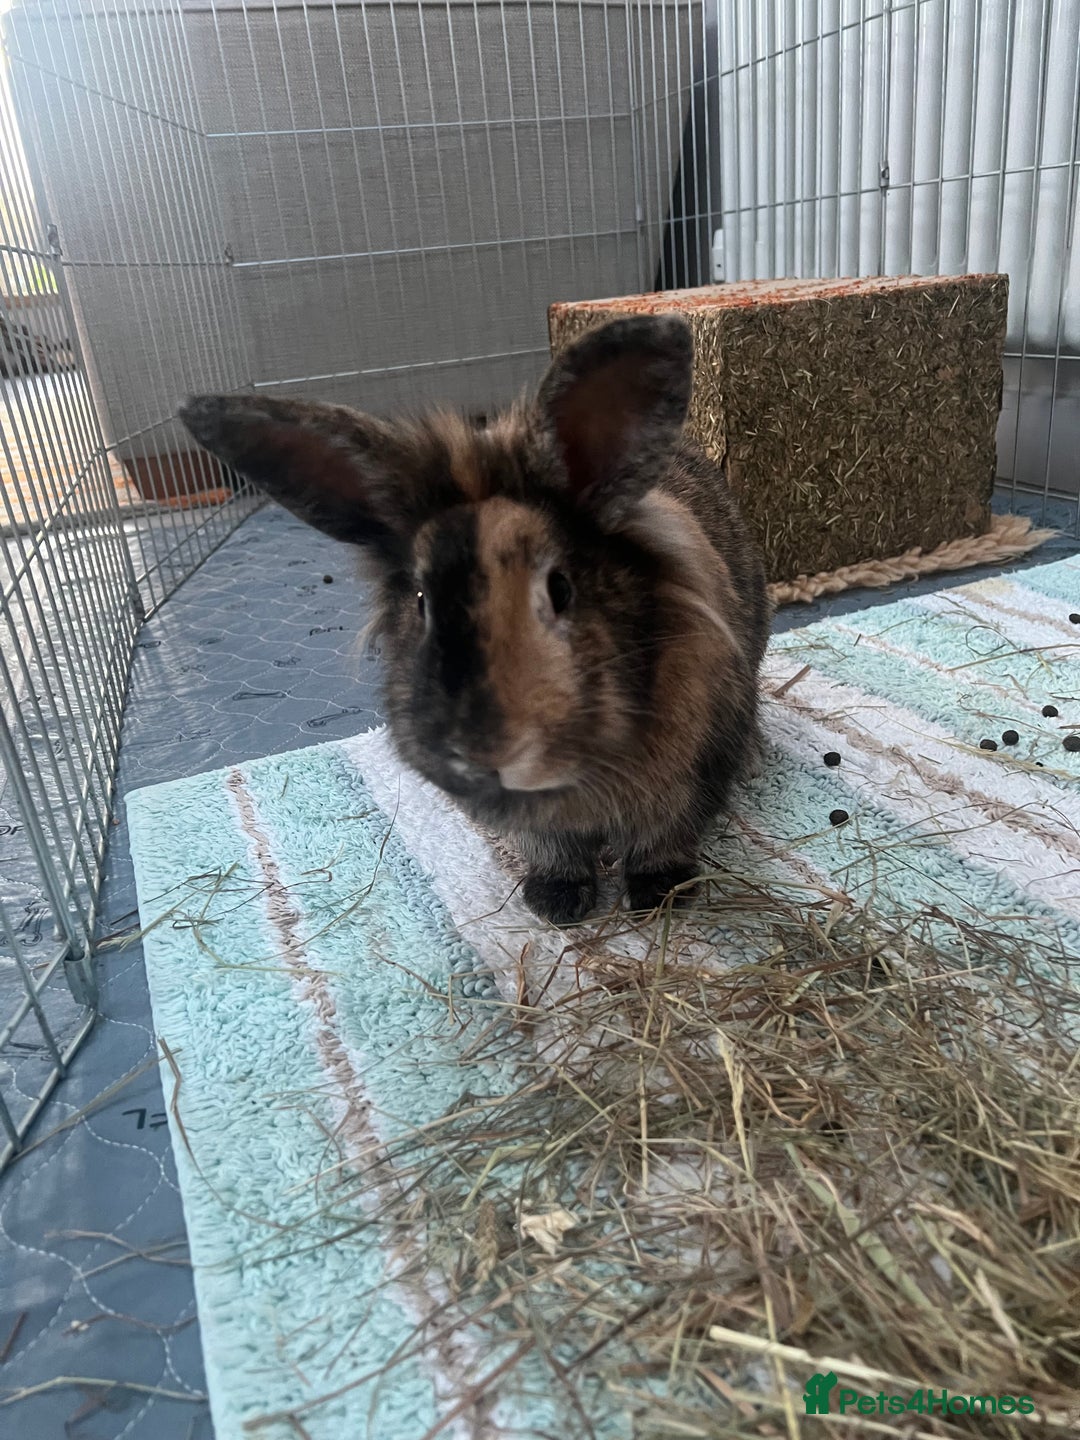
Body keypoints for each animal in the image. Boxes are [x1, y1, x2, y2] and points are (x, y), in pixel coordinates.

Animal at [178, 315, 770, 925]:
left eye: (561, 588)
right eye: (420, 601)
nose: (487, 752)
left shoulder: (684, 779)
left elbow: (661, 839)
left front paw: (657, 896)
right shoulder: (534, 827)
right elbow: (555, 852)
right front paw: (556, 902)